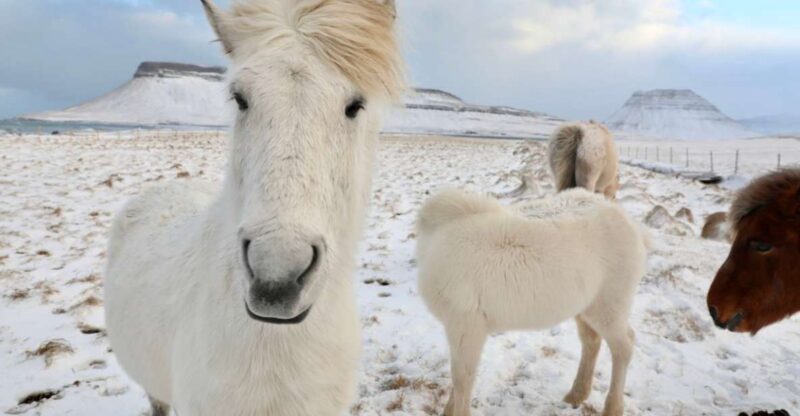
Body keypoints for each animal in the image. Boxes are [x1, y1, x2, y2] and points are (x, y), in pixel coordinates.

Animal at [416, 188, 649, 416]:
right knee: (591, 341)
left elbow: (462, 378)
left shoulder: (465, 324)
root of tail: (628, 222)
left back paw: (612, 408)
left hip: (609, 305)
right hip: (586, 308)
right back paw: (576, 394)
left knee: (624, 346)